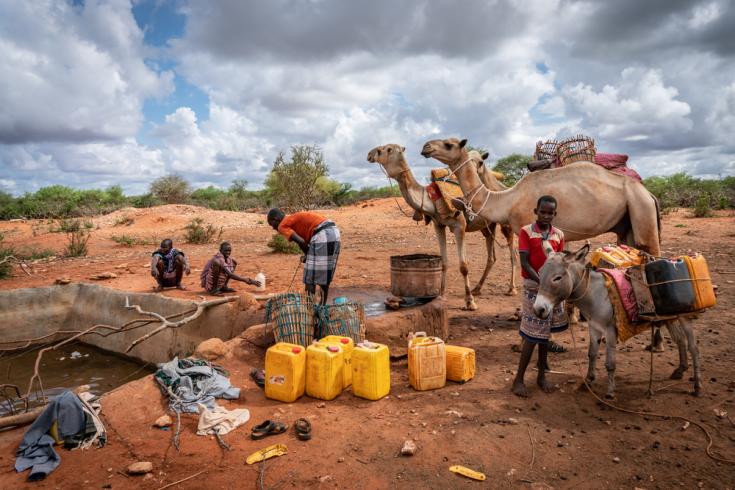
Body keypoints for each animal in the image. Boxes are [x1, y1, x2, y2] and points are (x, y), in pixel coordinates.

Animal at [366, 143, 516, 310]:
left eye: (387, 149)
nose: (369, 154)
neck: (431, 199)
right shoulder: (438, 225)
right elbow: (444, 262)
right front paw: (441, 295)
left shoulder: (459, 225)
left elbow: (463, 266)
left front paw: (469, 302)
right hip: (487, 226)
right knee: (491, 256)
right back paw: (477, 288)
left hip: (506, 223)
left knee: (513, 254)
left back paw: (511, 289)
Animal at [422, 136, 664, 255]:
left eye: (448, 144)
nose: (425, 147)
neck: (507, 200)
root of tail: (649, 194)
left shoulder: (527, 228)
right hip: (626, 225)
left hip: (642, 210)